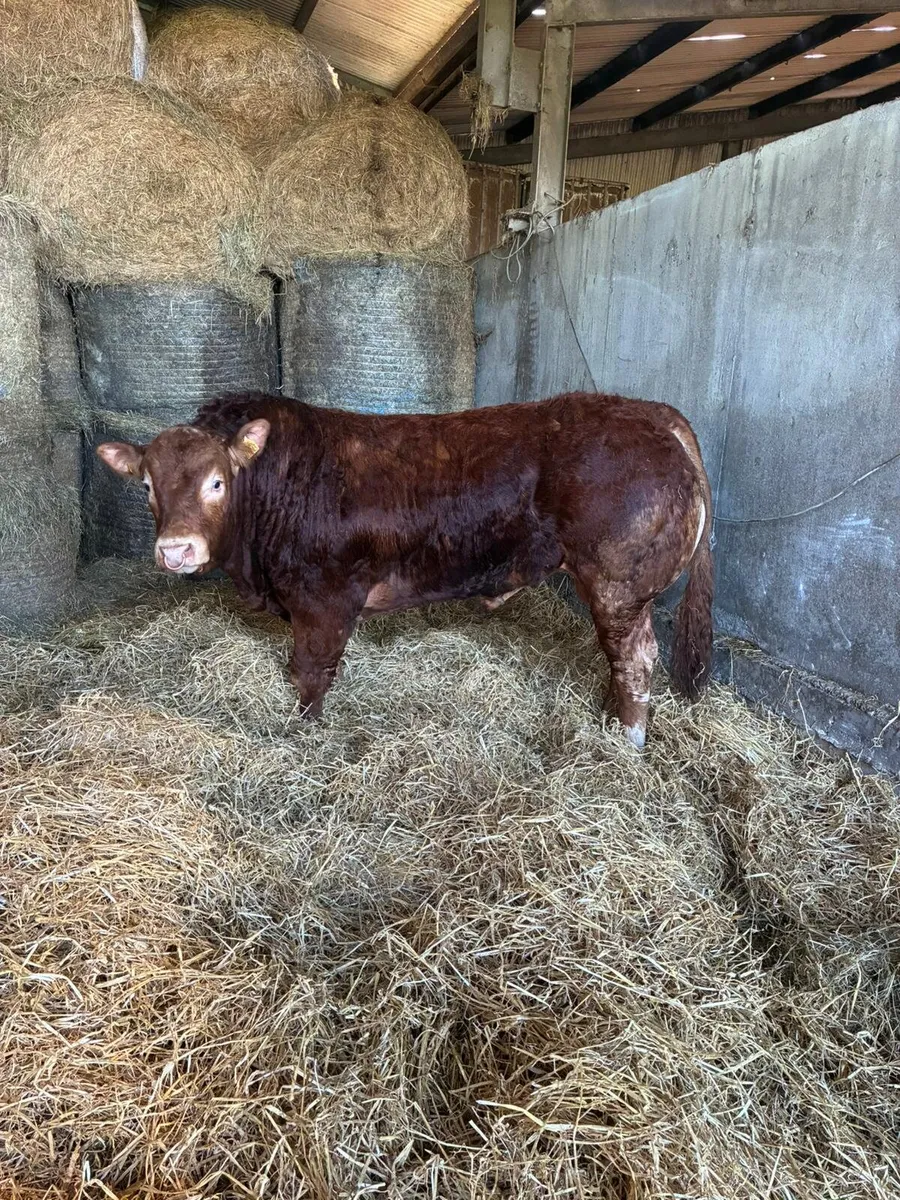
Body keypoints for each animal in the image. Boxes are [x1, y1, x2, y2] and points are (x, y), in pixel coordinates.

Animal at [96, 390, 713, 749]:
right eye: (146, 485)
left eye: (217, 482)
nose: (176, 550)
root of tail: (649, 412)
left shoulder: (323, 600)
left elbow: (310, 673)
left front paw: (304, 732)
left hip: (617, 584)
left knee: (636, 659)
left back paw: (627, 740)